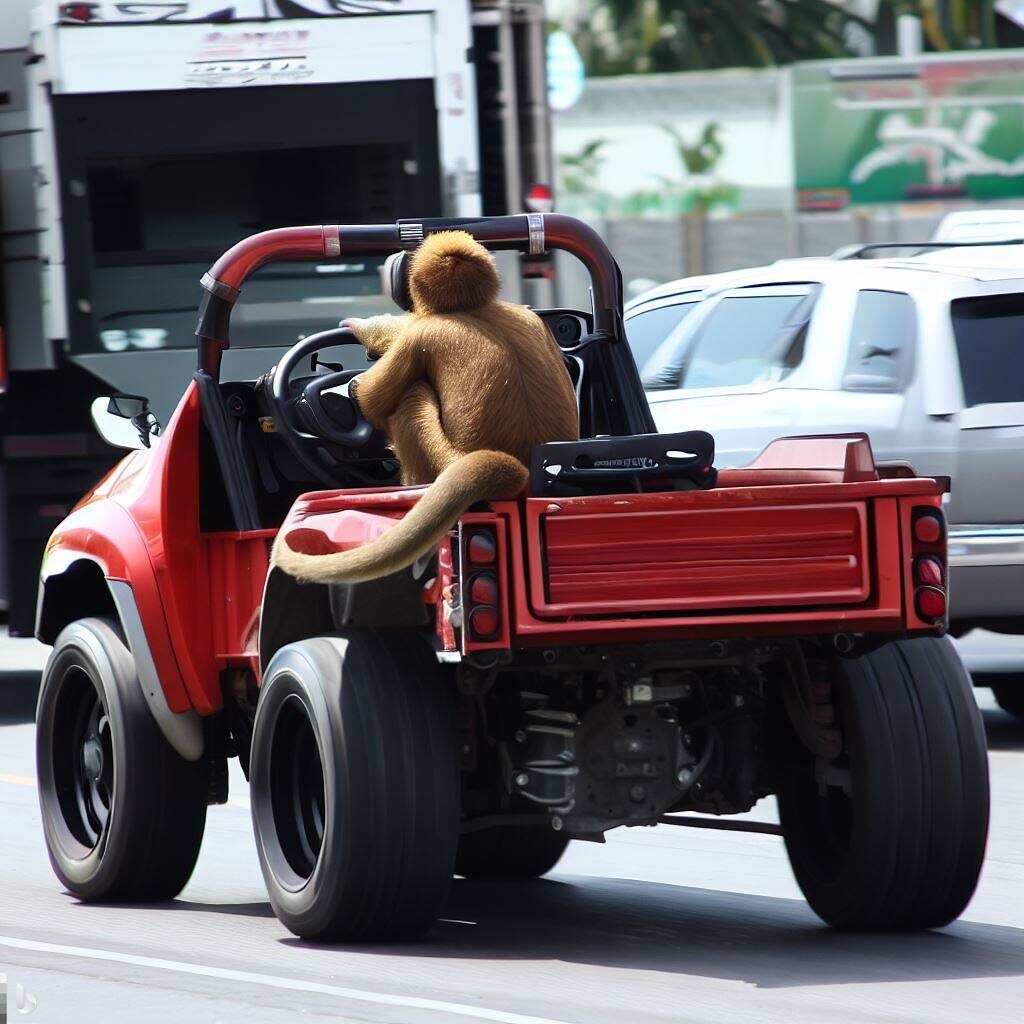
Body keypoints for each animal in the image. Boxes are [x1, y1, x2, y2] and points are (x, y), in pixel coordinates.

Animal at [270, 230, 577, 585]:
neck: (473, 309)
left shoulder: (420, 335)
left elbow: (371, 401)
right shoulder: (530, 318)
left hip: (438, 460)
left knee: (412, 396)